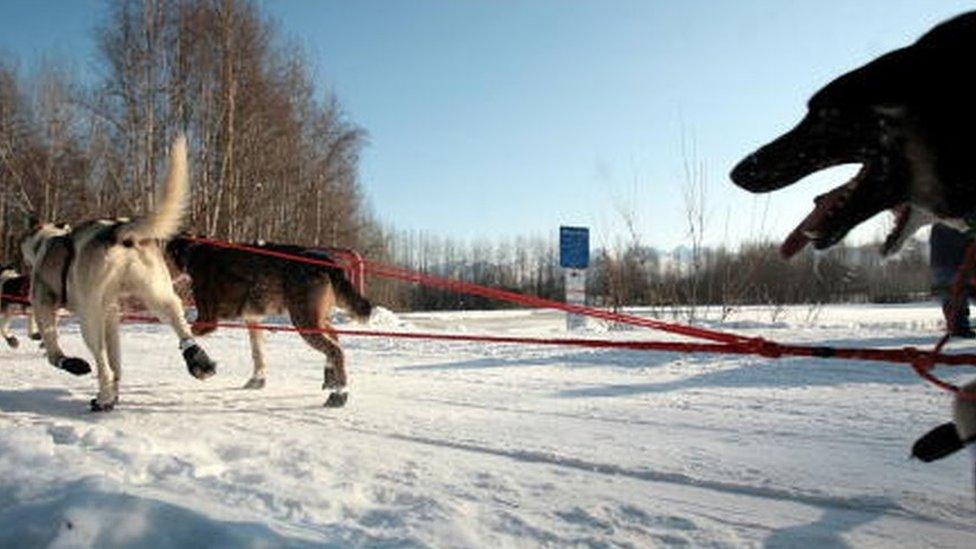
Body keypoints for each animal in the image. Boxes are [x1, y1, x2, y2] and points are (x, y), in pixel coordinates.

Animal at [23, 136, 219, 412]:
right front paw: (114, 392)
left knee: (101, 361)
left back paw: (102, 396)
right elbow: (117, 362)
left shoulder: (43, 304)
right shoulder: (111, 316)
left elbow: (53, 351)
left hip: (89, 318)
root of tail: (117, 231)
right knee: (179, 325)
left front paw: (71, 364)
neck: (48, 240)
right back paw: (198, 361)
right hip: (158, 296)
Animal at [166, 237, 372, 406]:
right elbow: (257, 353)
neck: (193, 252)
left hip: (305, 322)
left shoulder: (207, 321)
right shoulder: (253, 320)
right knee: (335, 339)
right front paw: (258, 379)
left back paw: (340, 394)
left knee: (335, 350)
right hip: (316, 320)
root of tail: (324, 260)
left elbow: (184, 331)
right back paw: (330, 378)